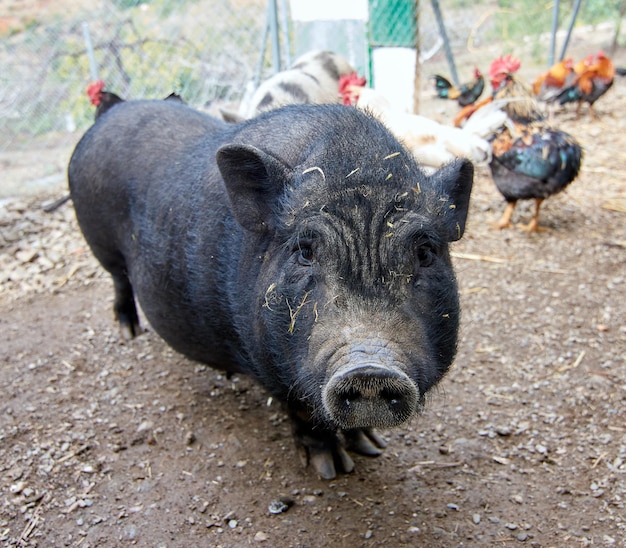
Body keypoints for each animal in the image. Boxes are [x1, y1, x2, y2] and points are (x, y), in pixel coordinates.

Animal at [66, 99, 470, 480]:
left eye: (425, 252)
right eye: (305, 251)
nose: (369, 368)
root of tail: (109, 115)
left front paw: (372, 446)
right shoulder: (268, 361)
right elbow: (304, 412)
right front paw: (331, 469)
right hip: (101, 246)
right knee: (119, 280)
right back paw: (128, 332)